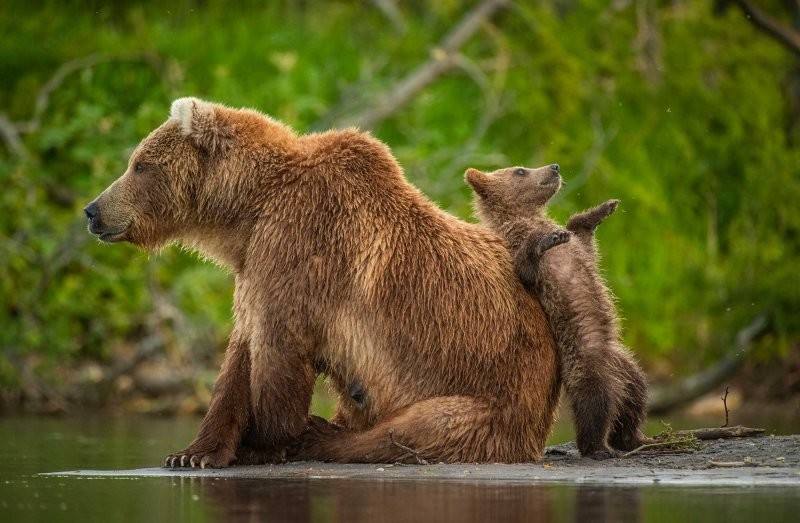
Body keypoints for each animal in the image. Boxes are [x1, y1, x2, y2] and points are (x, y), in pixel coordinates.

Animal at [79, 97, 556, 466]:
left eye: (139, 165)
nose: (92, 210)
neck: (248, 211)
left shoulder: (299, 248)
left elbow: (278, 350)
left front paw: (262, 443)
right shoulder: (256, 265)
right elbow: (239, 355)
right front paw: (193, 452)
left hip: (492, 392)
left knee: (418, 428)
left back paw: (322, 433)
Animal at [466, 165, 648, 458]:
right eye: (520, 170)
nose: (554, 167)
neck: (526, 217)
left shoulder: (579, 249)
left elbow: (581, 238)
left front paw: (603, 209)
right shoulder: (515, 250)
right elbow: (526, 269)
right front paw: (547, 240)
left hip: (626, 365)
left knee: (636, 395)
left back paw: (635, 439)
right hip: (585, 360)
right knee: (595, 402)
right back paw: (598, 447)